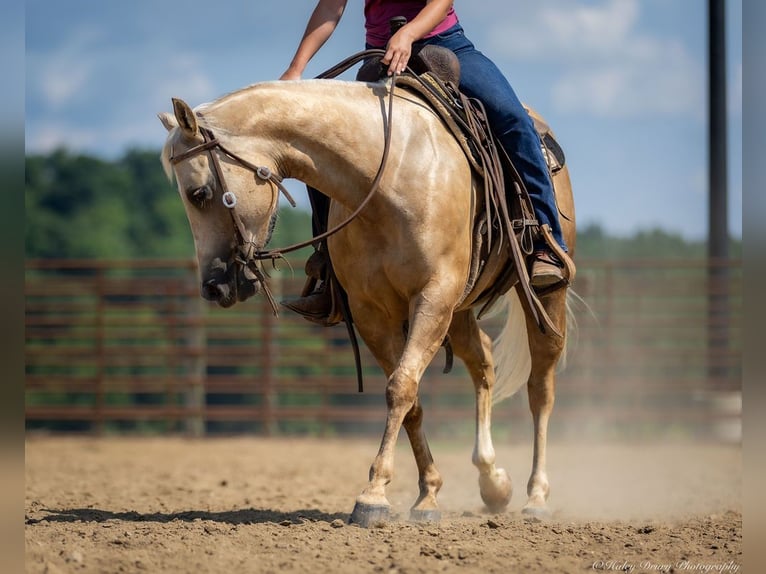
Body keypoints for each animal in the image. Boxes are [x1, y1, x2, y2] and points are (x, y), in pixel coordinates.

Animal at [159, 77, 576, 526]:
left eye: (199, 193)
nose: (213, 287)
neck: (390, 175)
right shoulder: (373, 312)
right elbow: (409, 398)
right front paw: (427, 494)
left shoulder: (432, 298)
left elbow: (401, 387)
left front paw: (373, 495)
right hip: (460, 310)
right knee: (482, 361)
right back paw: (493, 481)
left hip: (540, 296)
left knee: (540, 386)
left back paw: (537, 496)